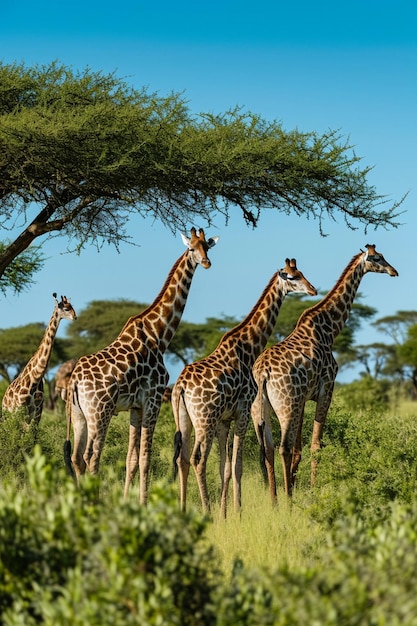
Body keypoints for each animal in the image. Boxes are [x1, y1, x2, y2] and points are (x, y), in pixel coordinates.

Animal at [2, 292, 77, 424]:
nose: (75, 317)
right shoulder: (21, 411)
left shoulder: (37, 412)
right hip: (7, 415)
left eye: (72, 306)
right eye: (66, 308)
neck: (35, 379)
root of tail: (4, 398)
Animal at [63, 227, 219, 504]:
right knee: (91, 456)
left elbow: (131, 460)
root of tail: (74, 381)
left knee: (77, 457)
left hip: (80, 414)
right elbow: (146, 458)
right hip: (100, 412)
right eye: (191, 248)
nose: (206, 262)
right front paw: (144, 504)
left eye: (207, 247)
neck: (159, 335)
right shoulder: (154, 399)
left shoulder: (135, 406)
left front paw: (129, 501)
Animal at [171, 256, 316, 516]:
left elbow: (225, 467)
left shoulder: (224, 420)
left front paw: (225, 513)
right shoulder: (243, 411)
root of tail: (181, 387)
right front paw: (237, 511)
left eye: (301, 273)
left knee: (183, 459)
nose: (313, 289)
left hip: (184, 419)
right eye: (293, 276)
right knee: (198, 459)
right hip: (204, 420)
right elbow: (237, 465)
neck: (249, 347)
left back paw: (184, 510)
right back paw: (206, 511)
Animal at [249, 241, 398, 500]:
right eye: (378, 258)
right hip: (286, 406)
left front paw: (298, 487)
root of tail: (263, 374)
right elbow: (315, 445)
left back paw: (275, 500)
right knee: (283, 448)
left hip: (262, 410)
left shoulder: (303, 399)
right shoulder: (327, 387)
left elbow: (300, 449)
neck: (330, 328)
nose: (394, 271)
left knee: (268, 449)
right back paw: (287, 502)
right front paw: (313, 491)